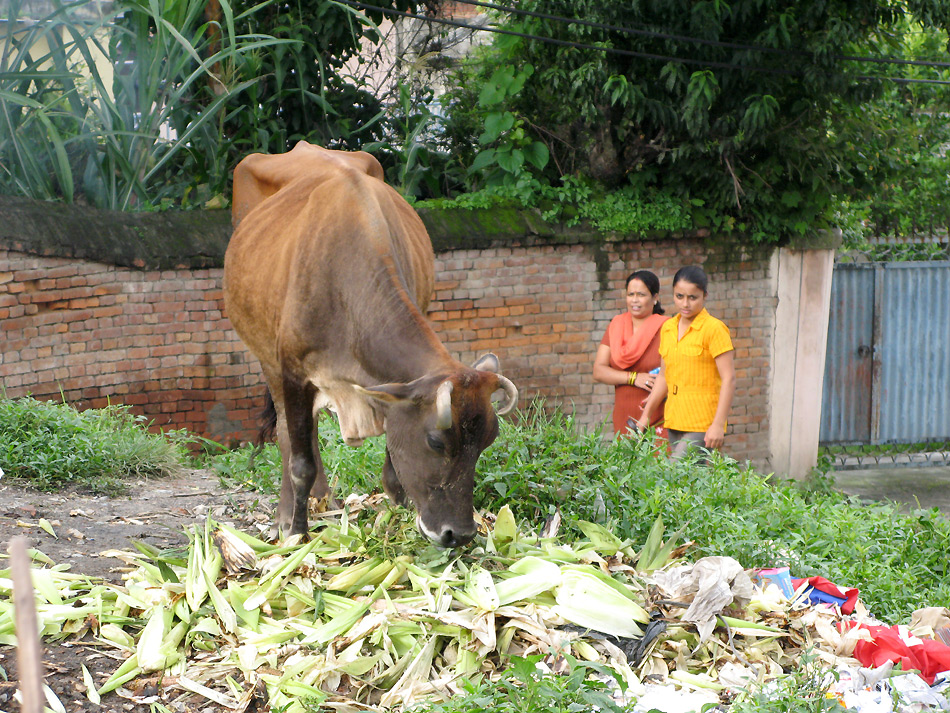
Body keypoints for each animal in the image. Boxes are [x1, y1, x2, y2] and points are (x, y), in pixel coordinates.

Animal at [225, 142, 520, 548]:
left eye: (486, 442)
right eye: (436, 442)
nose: (458, 534)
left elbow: (393, 455)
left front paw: (397, 511)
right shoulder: (292, 370)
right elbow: (299, 459)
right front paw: (296, 532)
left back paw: (325, 502)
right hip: (265, 356)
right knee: (289, 434)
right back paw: (292, 515)